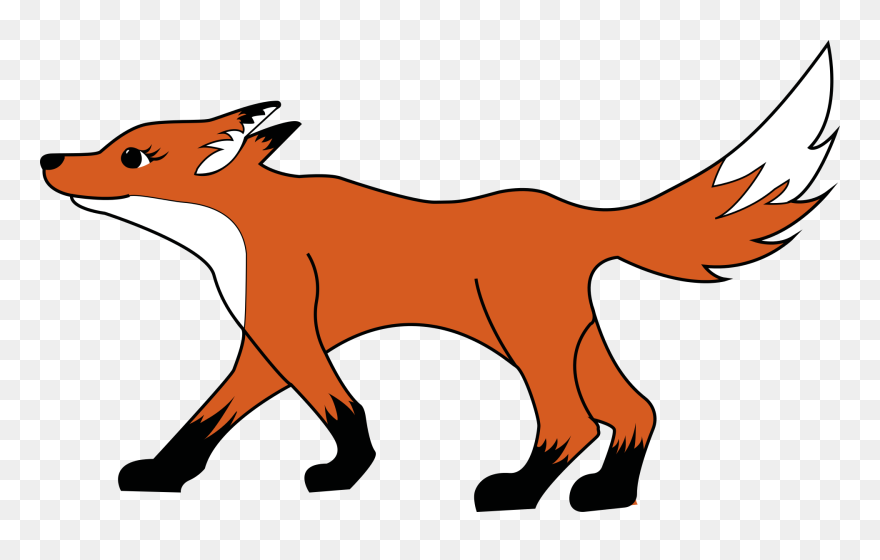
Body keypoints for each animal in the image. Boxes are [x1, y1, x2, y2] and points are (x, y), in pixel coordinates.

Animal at [41, 45, 837, 512]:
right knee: (635, 410)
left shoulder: (289, 334)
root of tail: (576, 213)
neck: (242, 227)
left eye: (132, 156)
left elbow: (339, 408)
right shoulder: (266, 345)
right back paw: (608, 493)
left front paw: (344, 474)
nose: (49, 158)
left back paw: (517, 492)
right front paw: (165, 474)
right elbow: (206, 419)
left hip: (527, 341)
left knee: (574, 422)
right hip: (569, 339)